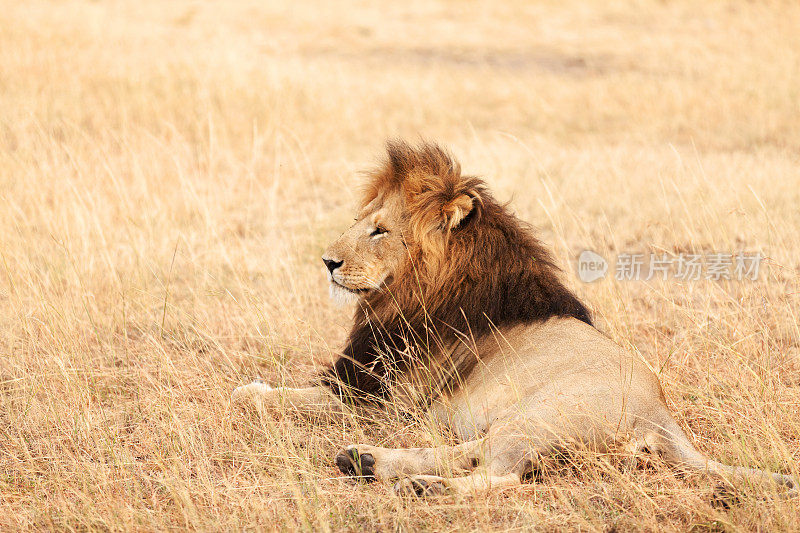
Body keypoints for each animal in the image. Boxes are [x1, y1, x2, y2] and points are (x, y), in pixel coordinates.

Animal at [231, 140, 792, 494]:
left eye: (380, 230)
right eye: (358, 222)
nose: (327, 261)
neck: (408, 293)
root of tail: (660, 414)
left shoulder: (384, 402)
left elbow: (287, 398)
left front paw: (249, 393)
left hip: (540, 414)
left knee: (496, 475)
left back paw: (420, 485)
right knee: (469, 453)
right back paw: (366, 461)